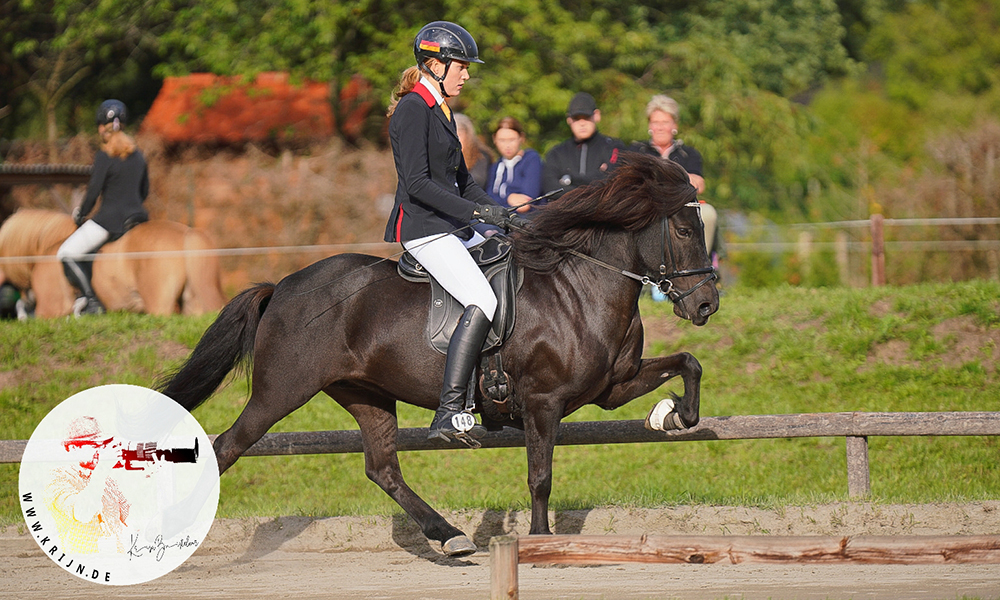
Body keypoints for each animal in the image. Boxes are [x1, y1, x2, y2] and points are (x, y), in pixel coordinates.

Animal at [156, 152, 720, 556]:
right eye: (684, 229)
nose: (707, 304)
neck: (580, 286)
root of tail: (284, 285)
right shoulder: (544, 401)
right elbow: (540, 477)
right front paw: (540, 540)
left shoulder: (611, 387)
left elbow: (688, 364)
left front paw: (673, 415)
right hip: (281, 391)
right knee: (228, 446)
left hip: (364, 394)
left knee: (383, 468)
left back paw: (449, 536)